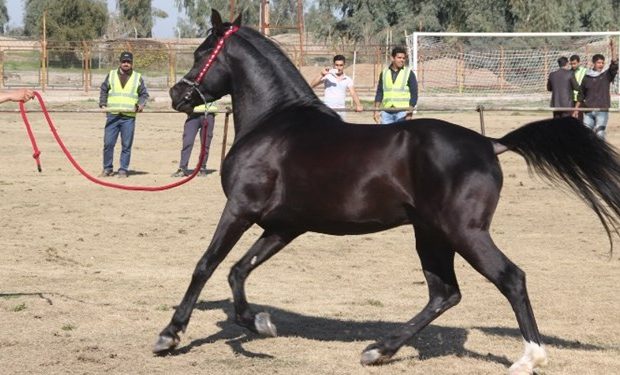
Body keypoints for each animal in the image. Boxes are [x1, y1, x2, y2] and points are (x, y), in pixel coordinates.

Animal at [154, 9, 620, 375]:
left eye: (201, 53)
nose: (179, 95)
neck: (275, 124)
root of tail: (489, 143)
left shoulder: (240, 209)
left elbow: (207, 265)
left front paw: (170, 335)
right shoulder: (284, 226)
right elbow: (238, 270)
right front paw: (260, 323)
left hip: (464, 233)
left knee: (510, 278)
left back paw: (529, 358)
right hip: (430, 234)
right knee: (444, 293)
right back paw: (379, 350)